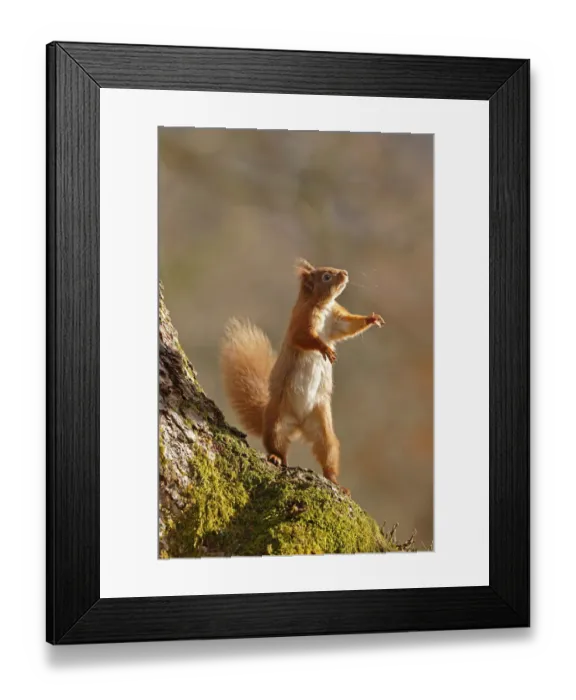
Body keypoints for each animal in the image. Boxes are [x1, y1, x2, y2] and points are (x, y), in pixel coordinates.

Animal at [220, 258, 385, 494]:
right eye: (326, 276)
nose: (344, 273)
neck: (322, 307)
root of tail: (298, 424)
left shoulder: (336, 320)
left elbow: (349, 326)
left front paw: (372, 318)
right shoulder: (301, 322)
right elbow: (304, 337)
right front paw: (325, 349)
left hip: (322, 426)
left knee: (327, 452)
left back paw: (336, 482)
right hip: (277, 422)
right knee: (276, 445)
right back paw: (276, 458)